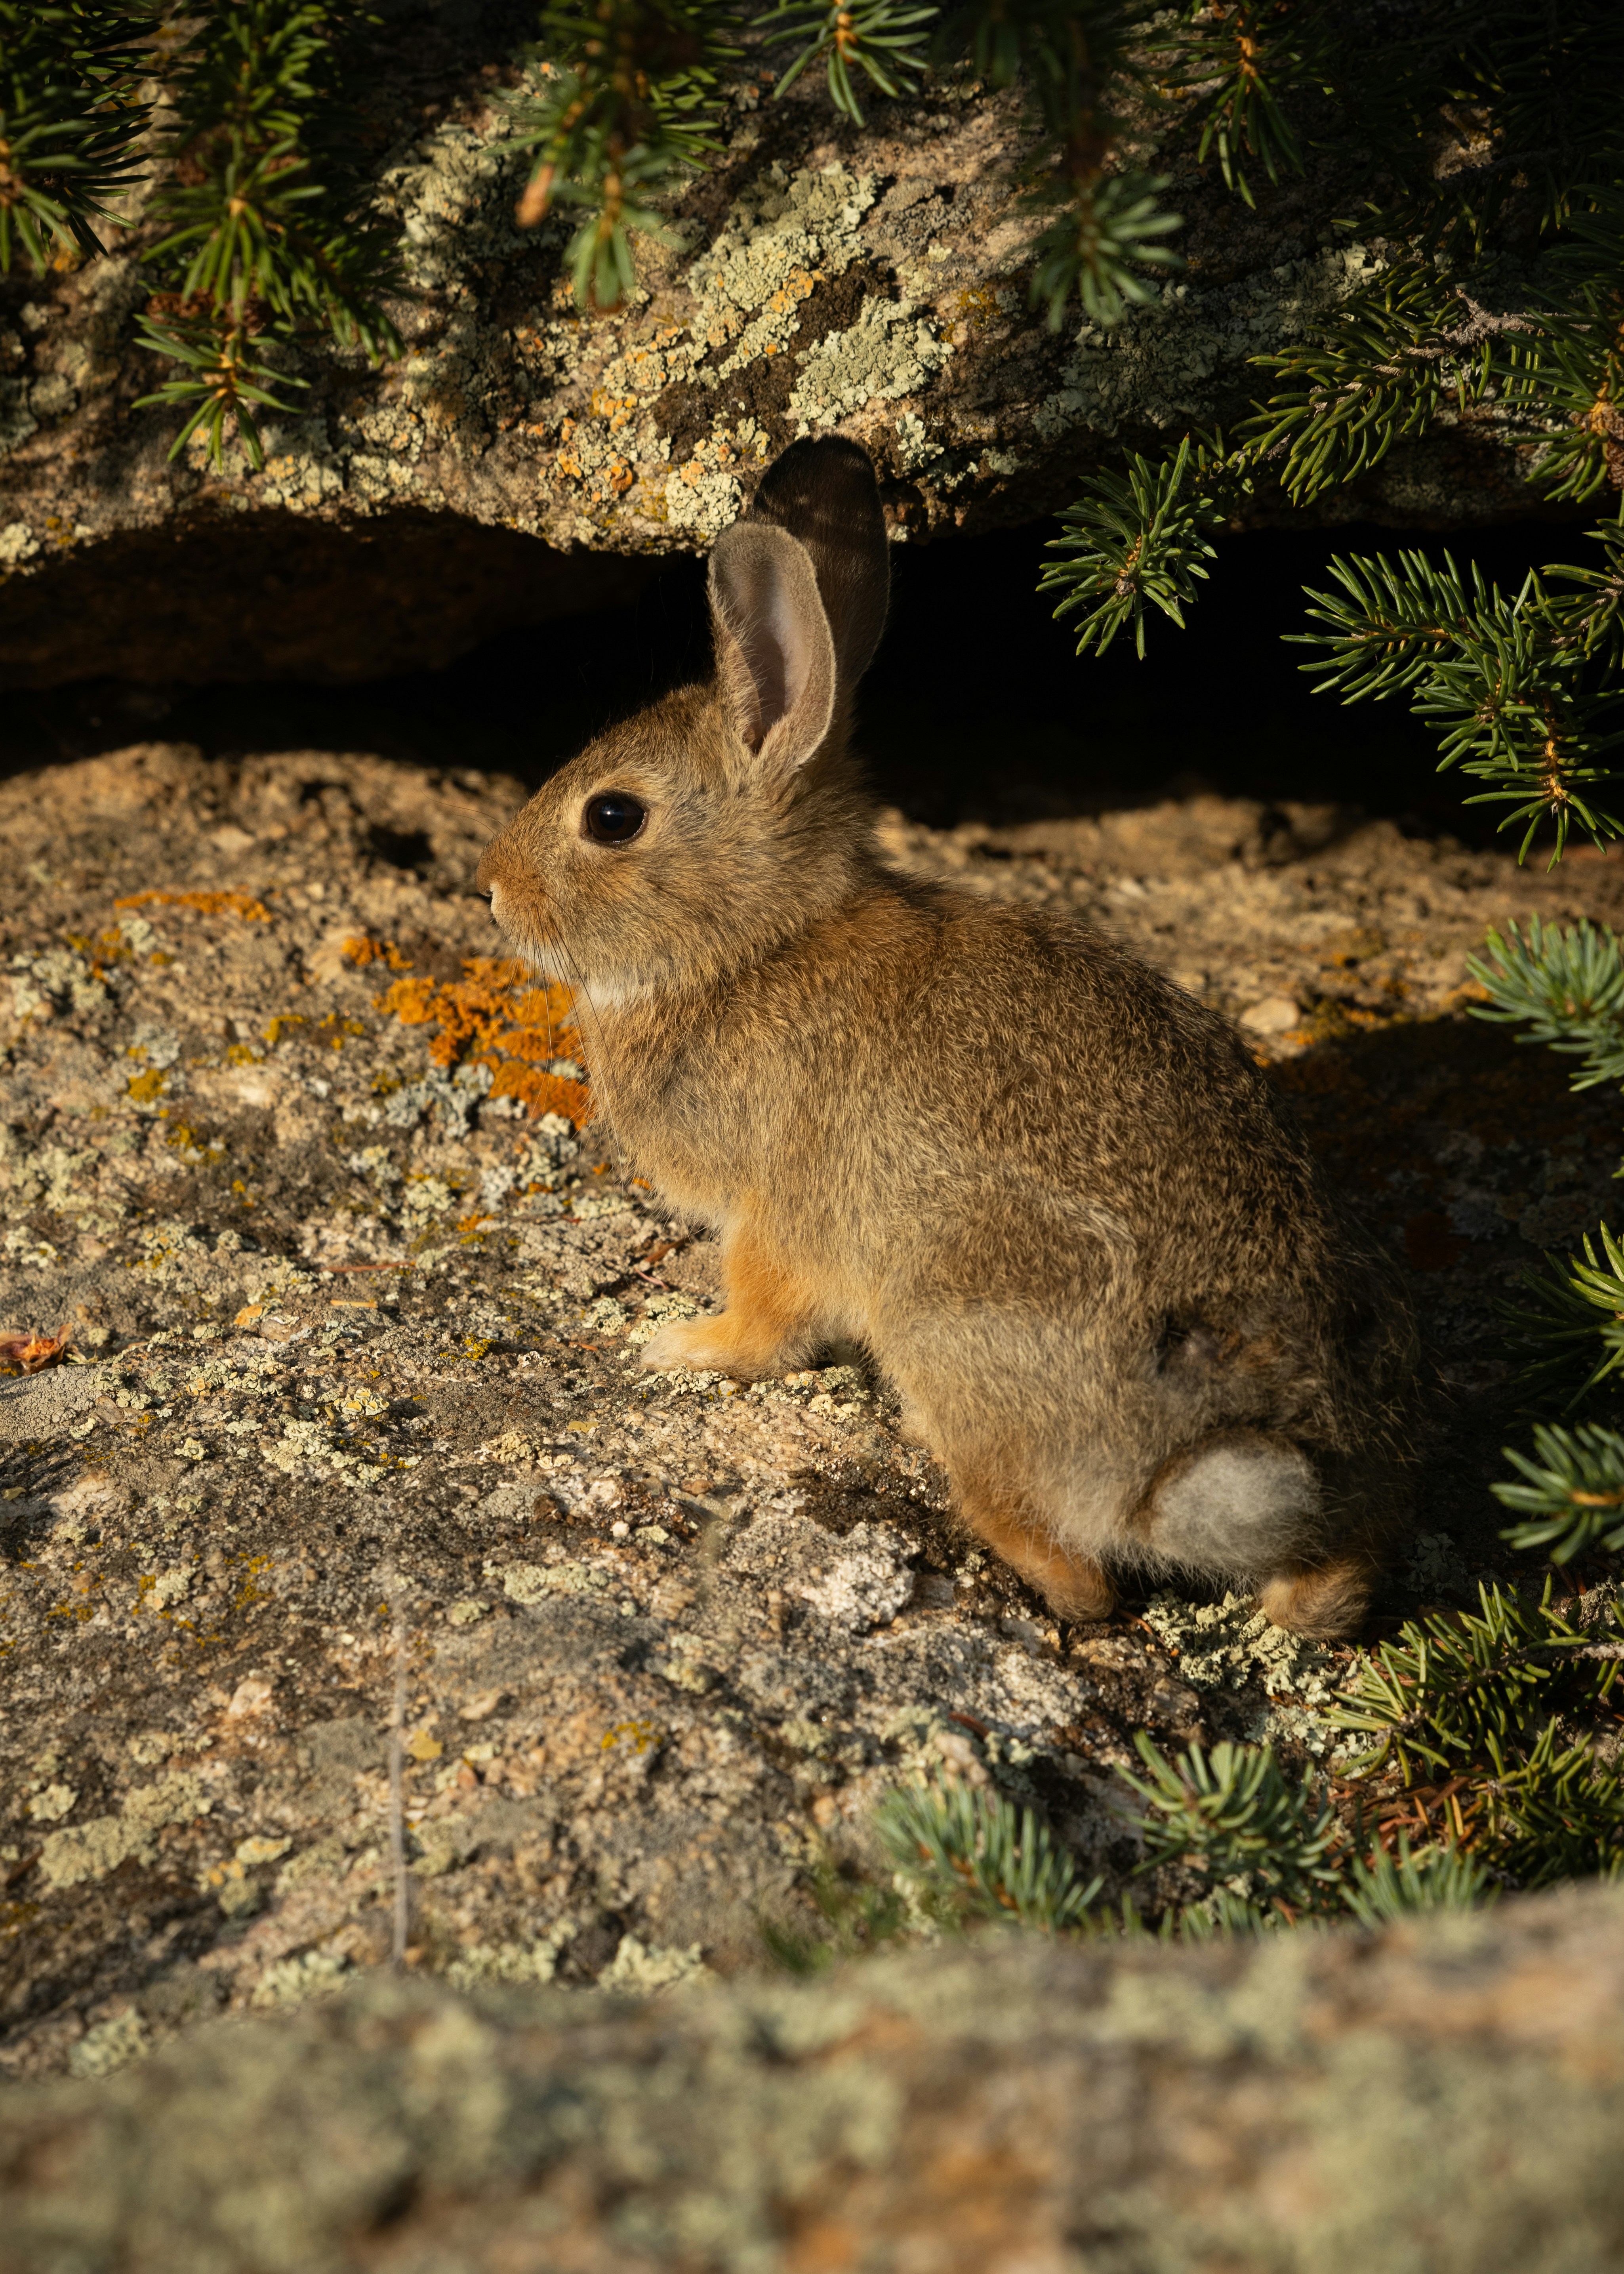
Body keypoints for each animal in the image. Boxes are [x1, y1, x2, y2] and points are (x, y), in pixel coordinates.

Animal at [477, 436, 1419, 1639]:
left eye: (611, 817)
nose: (491, 892)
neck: (753, 944)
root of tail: (1222, 1462)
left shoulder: (782, 1213)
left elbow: (766, 1318)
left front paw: (684, 1343)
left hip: (948, 1339)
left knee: (1076, 1577)